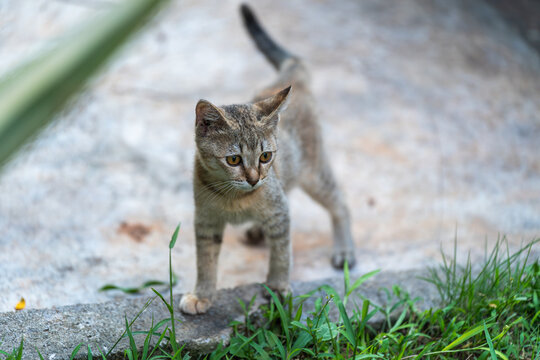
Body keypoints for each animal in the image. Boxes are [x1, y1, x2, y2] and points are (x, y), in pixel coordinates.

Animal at [179, 3, 356, 316]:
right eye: (233, 160)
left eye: (265, 156)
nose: (254, 179)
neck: (235, 199)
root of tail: (290, 79)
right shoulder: (206, 220)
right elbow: (205, 261)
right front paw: (202, 294)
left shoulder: (278, 211)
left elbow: (282, 252)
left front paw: (277, 286)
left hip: (314, 172)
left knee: (339, 201)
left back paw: (344, 249)